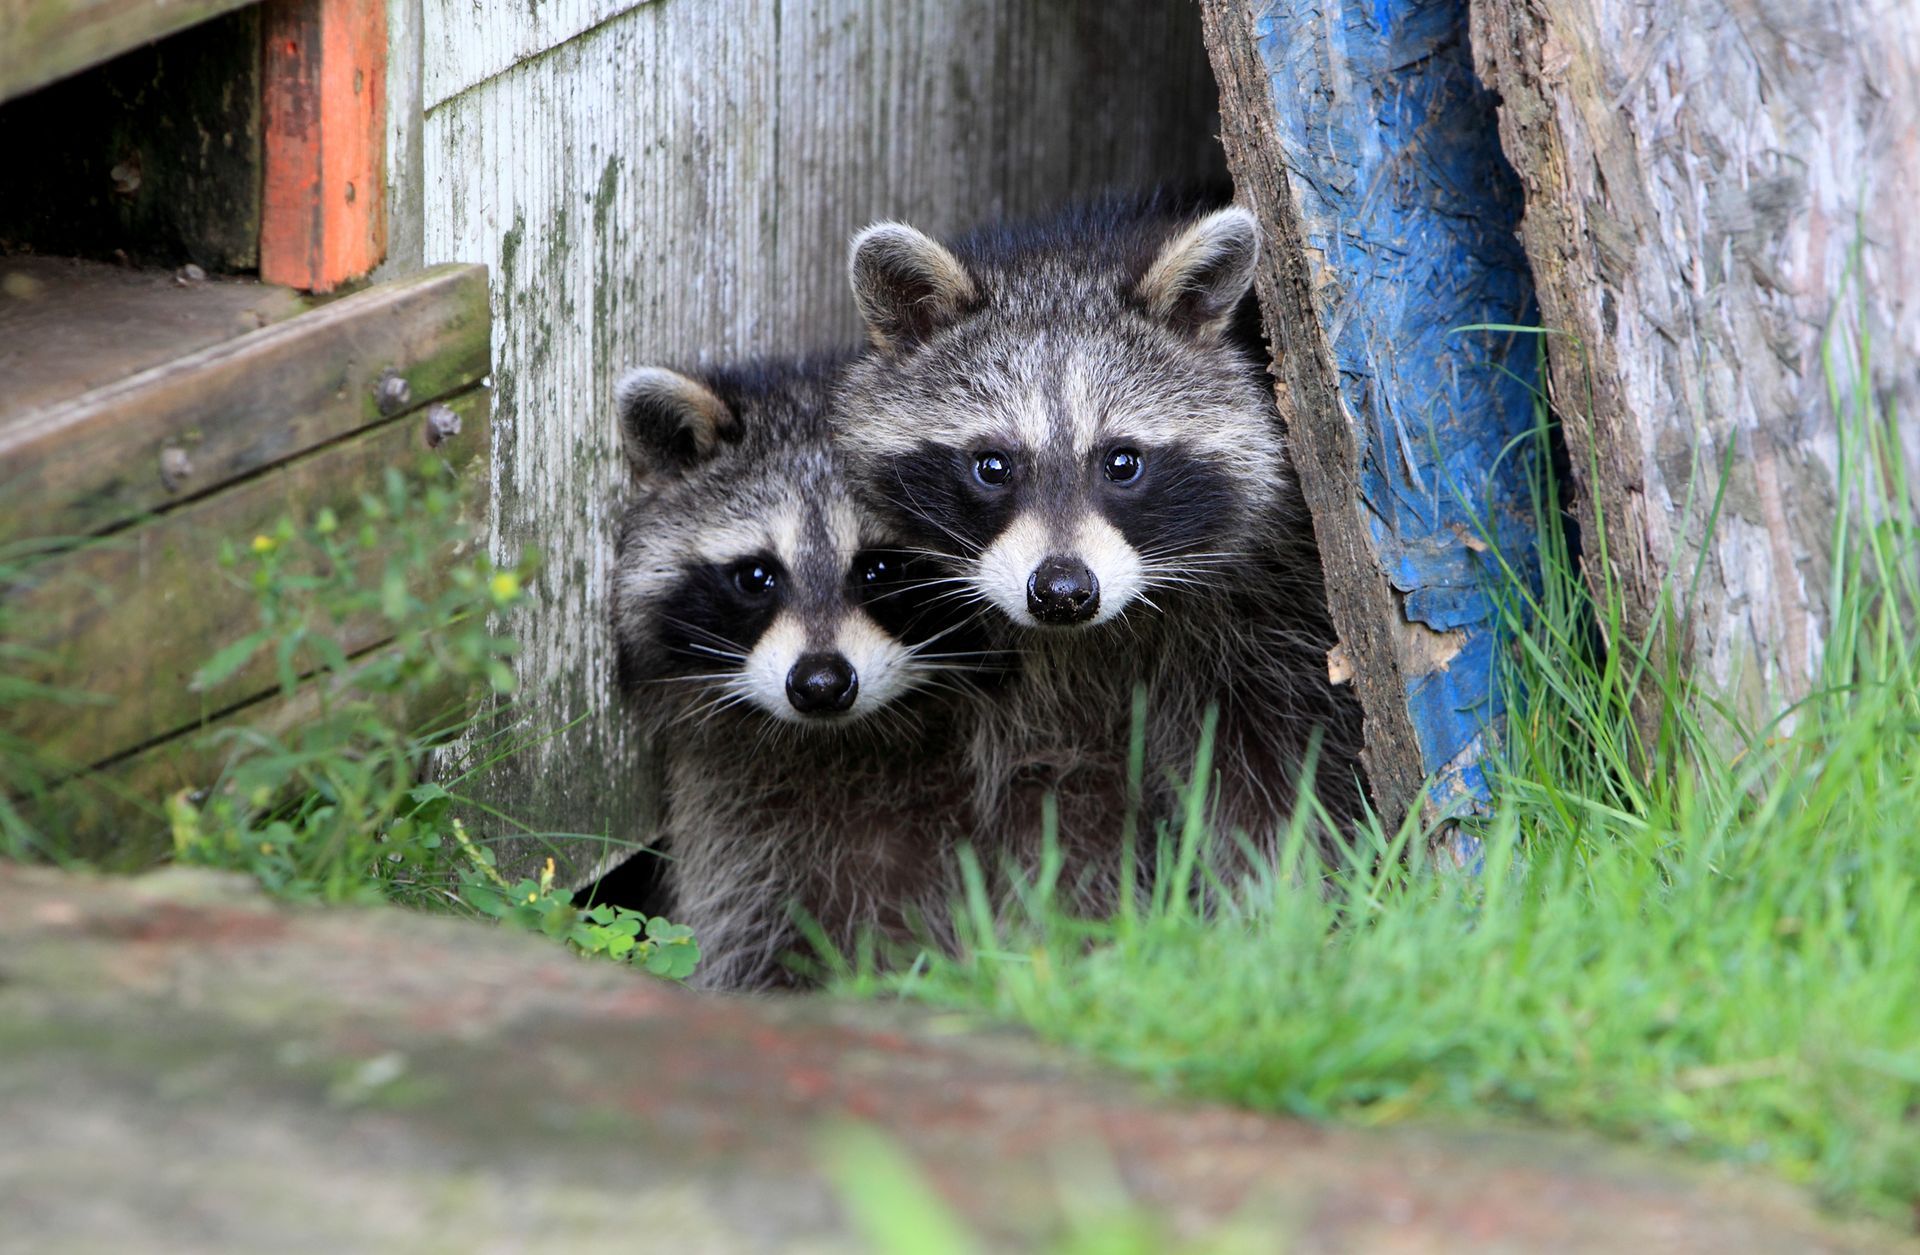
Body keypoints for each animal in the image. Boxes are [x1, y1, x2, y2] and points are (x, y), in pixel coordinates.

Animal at [610, 353, 990, 990]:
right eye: (755, 576)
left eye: (880, 568)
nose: (820, 686)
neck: (841, 744)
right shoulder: (733, 812)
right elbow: (744, 928)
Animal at [837, 191, 1367, 909]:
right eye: (993, 466)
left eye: (1122, 463)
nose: (1062, 592)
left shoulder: (1274, 606)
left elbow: (1277, 771)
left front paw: (1279, 902)